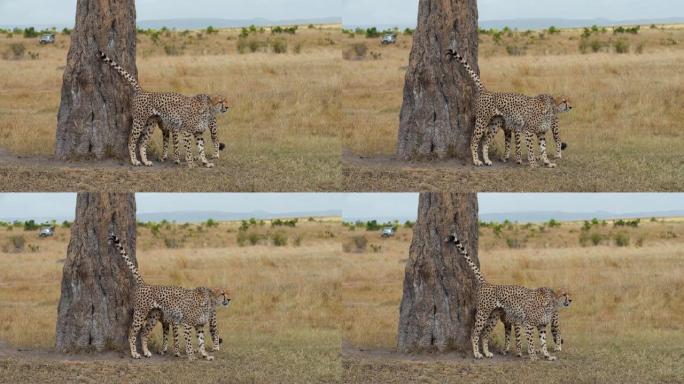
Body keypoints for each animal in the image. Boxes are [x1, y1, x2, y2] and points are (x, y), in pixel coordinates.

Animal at [97, 50, 230, 167]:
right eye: (220, 101)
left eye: (226, 100)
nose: (228, 107)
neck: (208, 111)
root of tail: (143, 91)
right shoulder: (185, 131)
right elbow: (187, 149)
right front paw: (190, 164)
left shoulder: (198, 133)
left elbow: (201, 149)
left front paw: (205, 162)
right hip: (139, 122)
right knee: (131, 141)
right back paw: (135, 161)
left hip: (150, 125)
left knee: (142, 143)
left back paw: (146, 162)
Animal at [109, 232, 231, 362]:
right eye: (222, 293)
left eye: (228, 292)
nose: (229, 299)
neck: (210, 303)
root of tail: (145, 284)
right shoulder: (187, 324)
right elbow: (188, 342)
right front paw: (191, 356)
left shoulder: (199, 326)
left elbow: (201, 342)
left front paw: (205, 355)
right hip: (140, 314)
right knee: (132, 333)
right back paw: (134, 353)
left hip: (153, 317)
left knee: (144, 333)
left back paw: (146, 352)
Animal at [444, 49, 572, 166]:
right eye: (564, 101)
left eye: (569, 99)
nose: (571, 106)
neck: (551, 110)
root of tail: (487, 91)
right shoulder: (528, 131)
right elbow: (530, 149)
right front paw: (532, 163)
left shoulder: (540, 133)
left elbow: (543, 149)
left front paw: (547, 162)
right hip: (482, 121)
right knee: (474, 140)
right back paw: (476, 161)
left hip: (495, 124)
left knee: (485, 141)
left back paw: (487, 160)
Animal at [446, 232, 576, 362]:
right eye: (564, 294)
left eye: (569, 293)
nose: (570, 300)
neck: (552, 303)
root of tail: (487, 284)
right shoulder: (528, 324)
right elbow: (530, 342)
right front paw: (533, 356)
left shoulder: (542, 325)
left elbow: (543, 342)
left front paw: (547, 355)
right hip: (483, 314)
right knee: (474, 333)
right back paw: (477, 354)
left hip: (493, 317)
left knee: (485, 334)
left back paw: (487, 353)